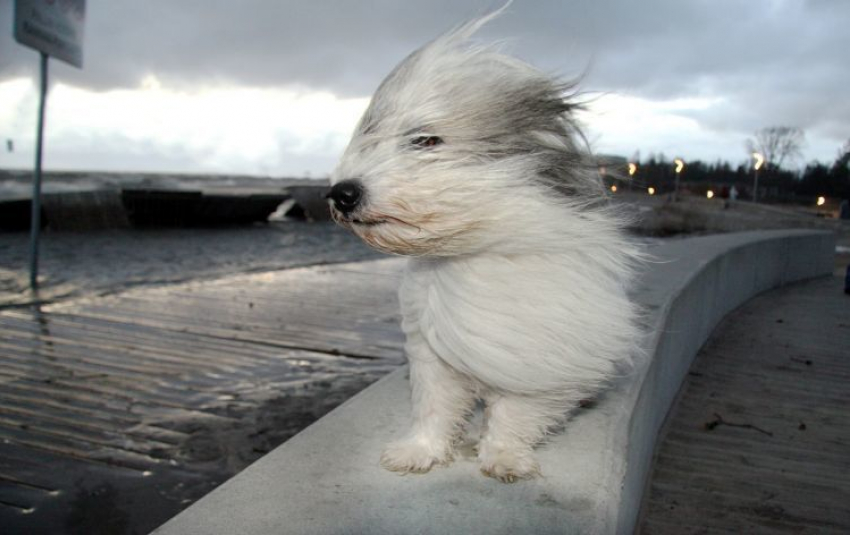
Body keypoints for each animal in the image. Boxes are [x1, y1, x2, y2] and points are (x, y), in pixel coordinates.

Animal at [328, 10, 640, 484]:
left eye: (425, 140)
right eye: (372, 136)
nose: (341, 193)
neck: (473, 249)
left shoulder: (534, 352)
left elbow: (516, 412)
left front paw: (504, 457)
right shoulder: (431, 351)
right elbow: (434, 407)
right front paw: (420, 451)